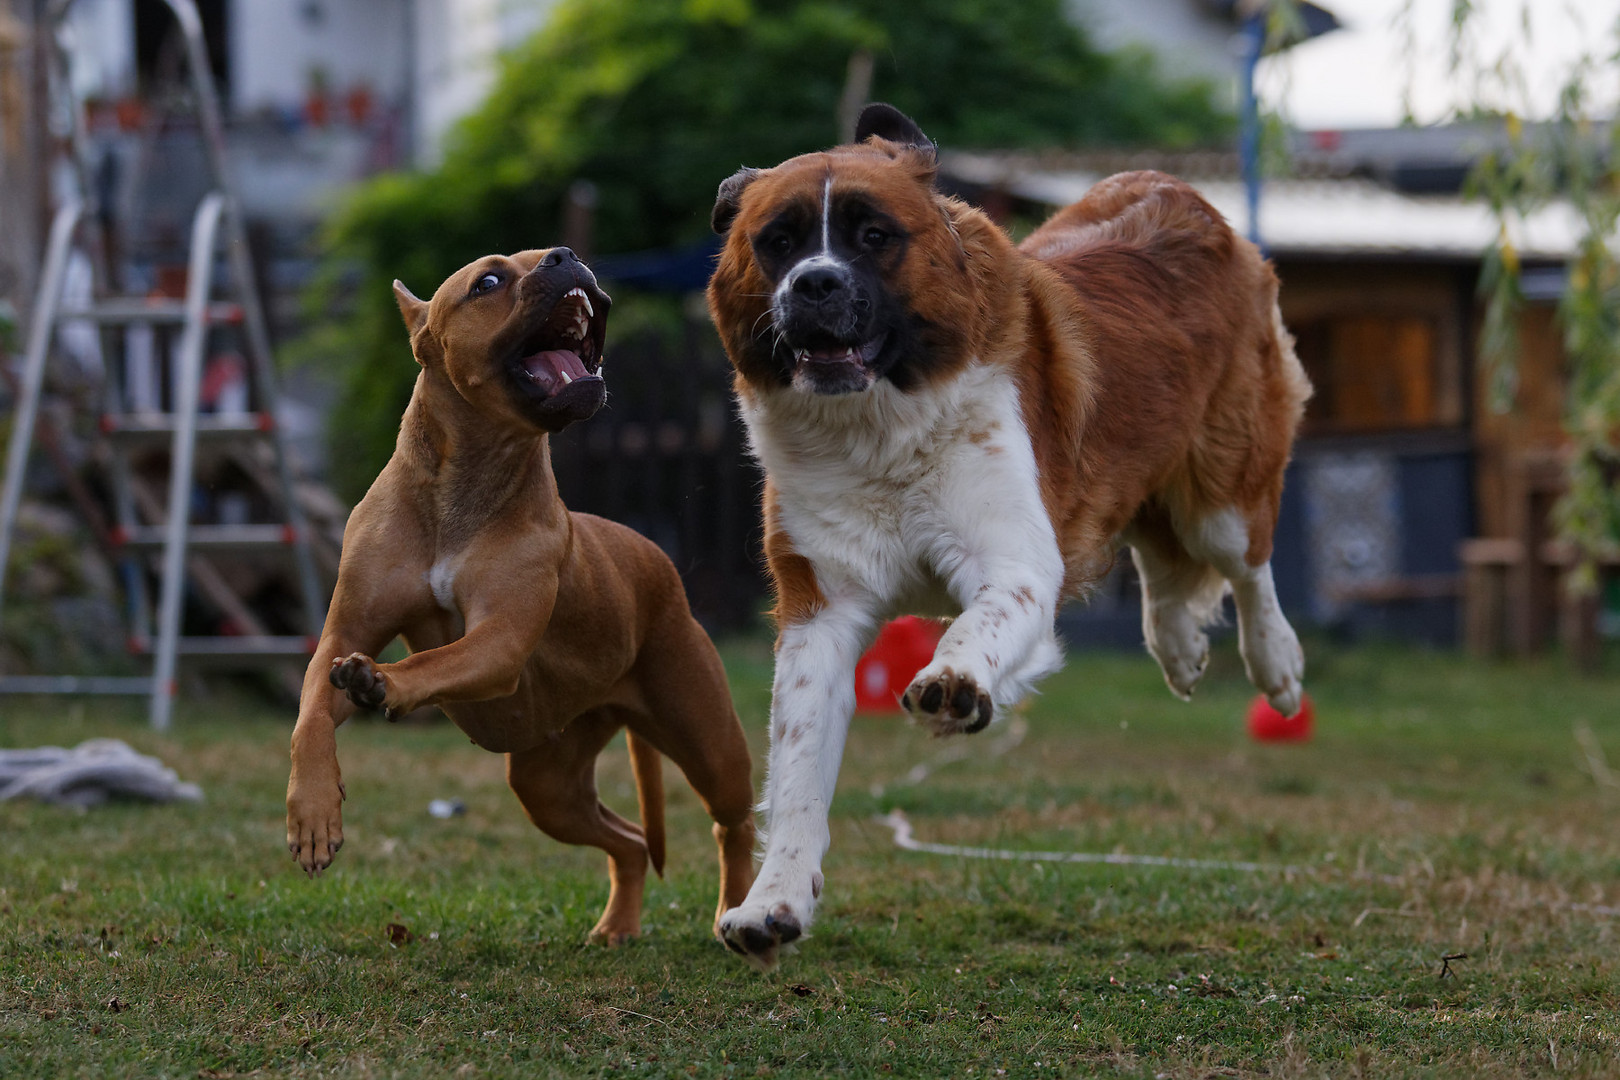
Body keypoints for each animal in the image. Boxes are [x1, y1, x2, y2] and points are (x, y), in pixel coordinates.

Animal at [285, 247, 751, 945]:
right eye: (488, 281)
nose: (568, 255)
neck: (467, 484)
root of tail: (655, 557)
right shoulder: (341, 637)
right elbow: (312, 713)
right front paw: (313, 814)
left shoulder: (499, 639)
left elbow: (433, 660)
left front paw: (385, 681)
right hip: (548, 785)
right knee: (630, 840)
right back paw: (618, 925)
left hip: (706, 738)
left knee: (733, 823)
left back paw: (744, 914)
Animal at [703, 103, 1308, 965]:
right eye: (778, 241)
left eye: (873, 236)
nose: (814, 282)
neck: (878, 429)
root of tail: (1181, 190)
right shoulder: (821, 610)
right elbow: (796, 765)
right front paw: (773, 901)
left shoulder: (1015, 560)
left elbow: (980, 621)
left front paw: (956, 684)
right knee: (1156, 552)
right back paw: (1178, 644)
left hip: (1222, 488)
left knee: (1246, 564)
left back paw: (1275, 663)